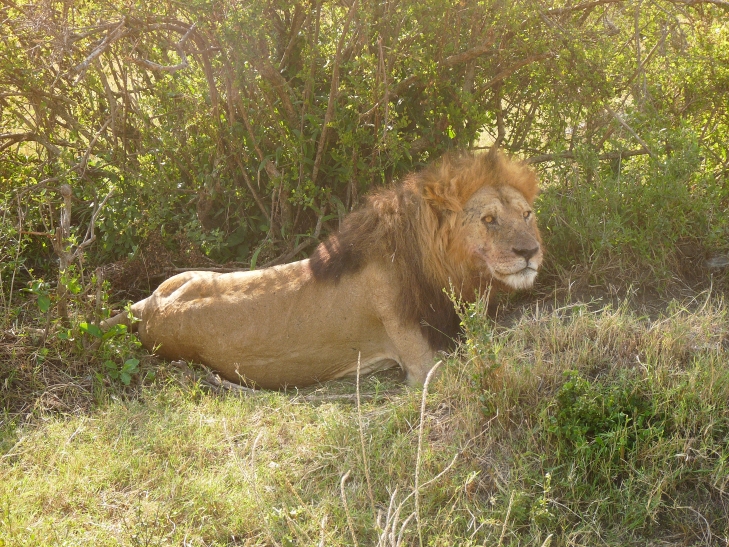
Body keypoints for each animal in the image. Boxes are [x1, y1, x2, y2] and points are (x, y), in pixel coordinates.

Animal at [103, 149, 542, 388]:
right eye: (489, 220)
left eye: (527, 215)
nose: (531, 251)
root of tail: (147, 308)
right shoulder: (423, 364)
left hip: (188, 275)